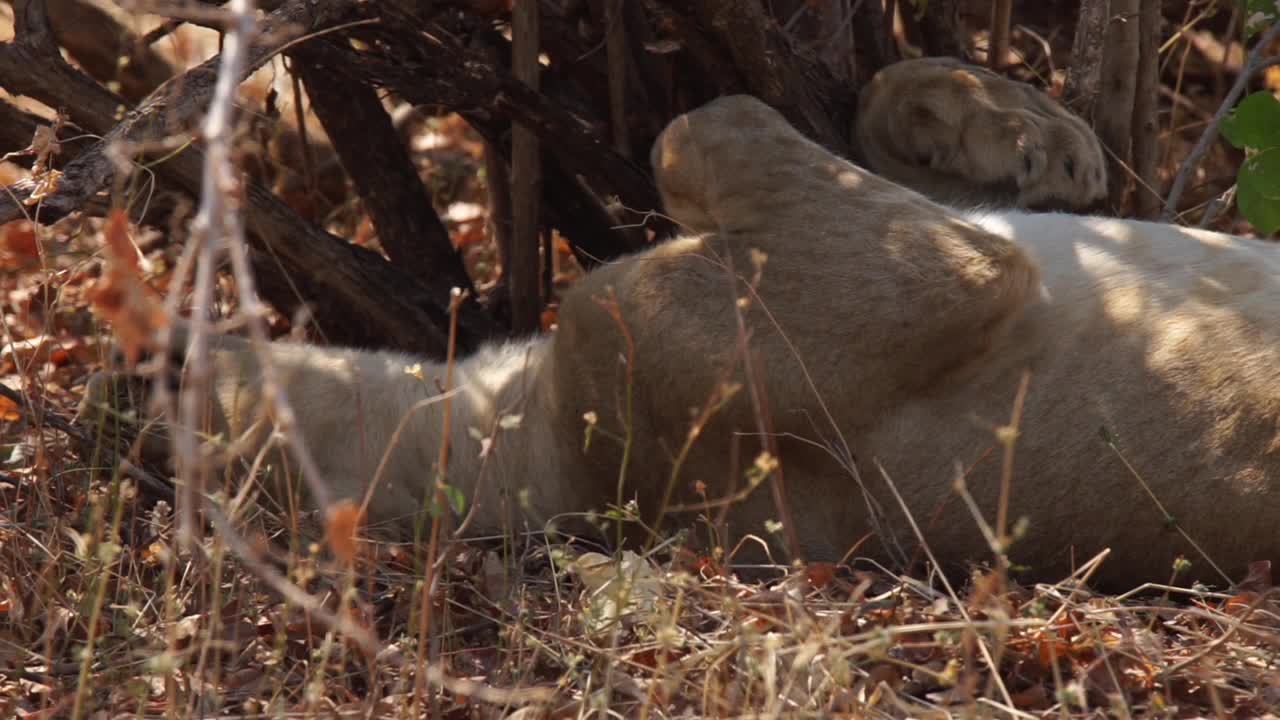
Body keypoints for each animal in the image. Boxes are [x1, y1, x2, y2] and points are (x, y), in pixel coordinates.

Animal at [82, 58, 1280, 586]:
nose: (132, 371)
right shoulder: (953, 275)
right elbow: (700, 123)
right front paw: (1011, 129)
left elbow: (837, 107)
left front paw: (1014, 130)